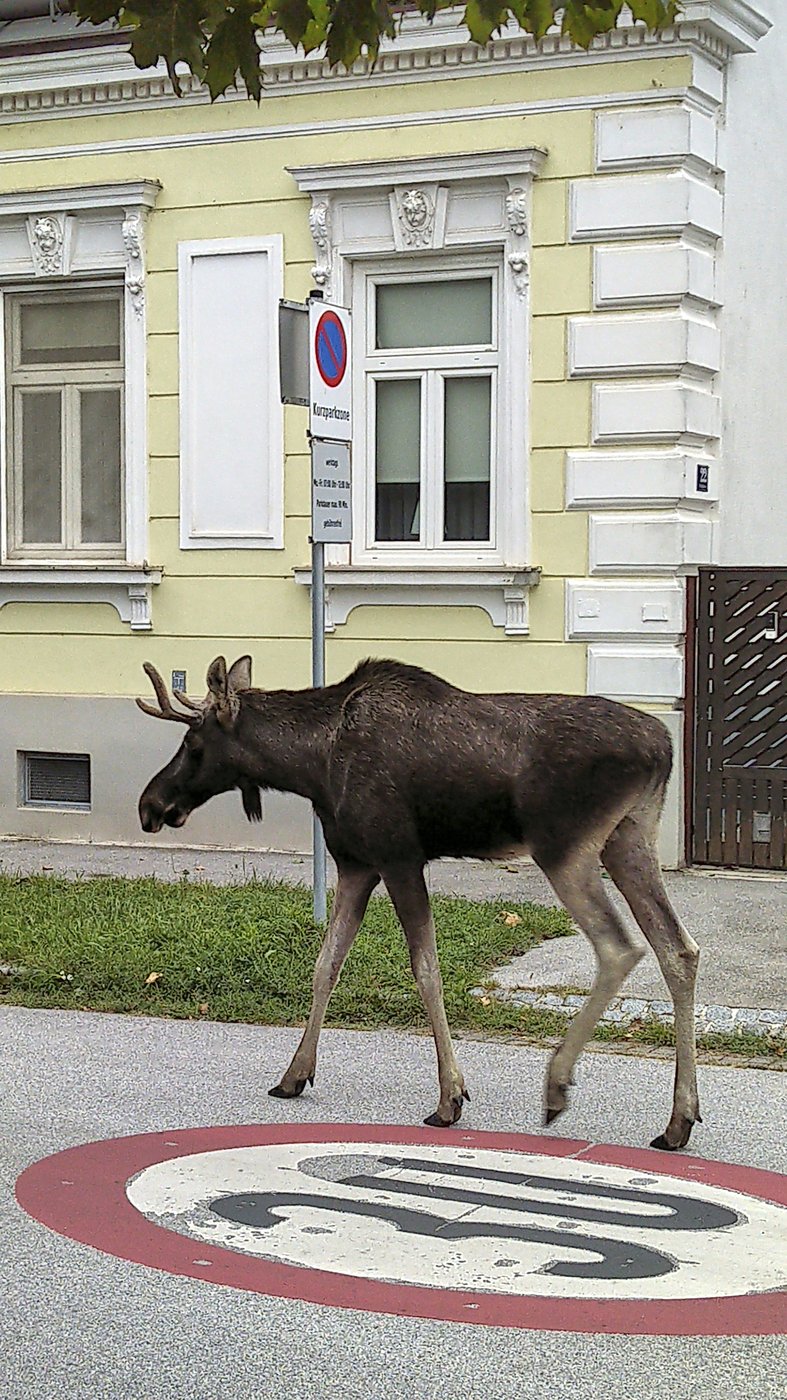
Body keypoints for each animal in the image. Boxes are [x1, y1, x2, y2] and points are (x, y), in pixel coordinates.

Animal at [137, 655, 701, 1152]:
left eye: (193, 742)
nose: (151, 805)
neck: (310, 766)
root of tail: (665, 747)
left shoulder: (398, 856)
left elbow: (426, 969)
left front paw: (450, 1097)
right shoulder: (356, 865)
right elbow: (325, 965)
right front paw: (294, 1075)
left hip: (565, 847)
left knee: (620, 947)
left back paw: (558, 1086)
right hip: (629, 837)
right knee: (679, 949)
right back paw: (678, 1120)